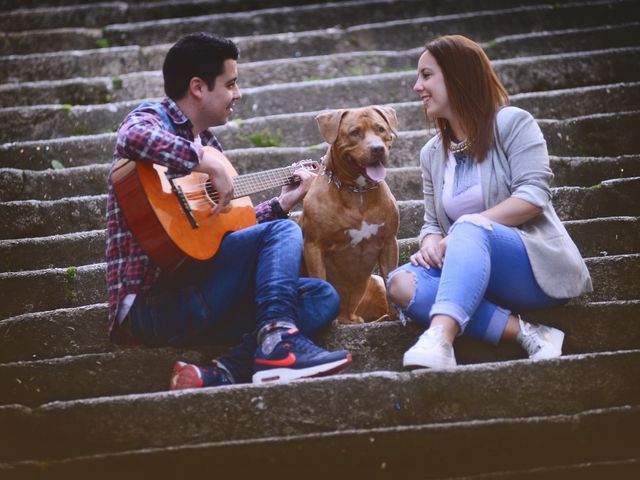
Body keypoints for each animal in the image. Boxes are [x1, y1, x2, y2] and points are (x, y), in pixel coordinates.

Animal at [298, 104, 398, 322]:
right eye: (355, 132)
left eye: (381, 129)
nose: (377, 149)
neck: (357, 191)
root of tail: (348, 317)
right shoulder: (314, 246)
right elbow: (321, 279)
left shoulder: (389, 242)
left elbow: (392, 278)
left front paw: (399, 316)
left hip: (375, 282)